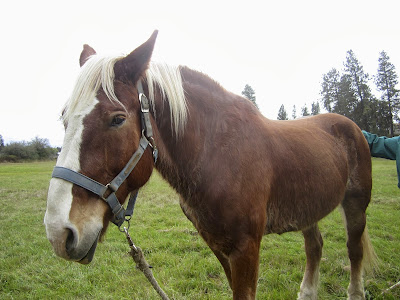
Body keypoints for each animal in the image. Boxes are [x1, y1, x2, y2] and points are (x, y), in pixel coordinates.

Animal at [45, 31, 376, 300]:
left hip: (356, 205)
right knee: (315, 246)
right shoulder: (218, 245)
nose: (59, 233)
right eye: (64, 118)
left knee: (354, 249)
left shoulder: (246, 247)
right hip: (308, 207)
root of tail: (353, 127)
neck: (217, 156)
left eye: (117, 119)